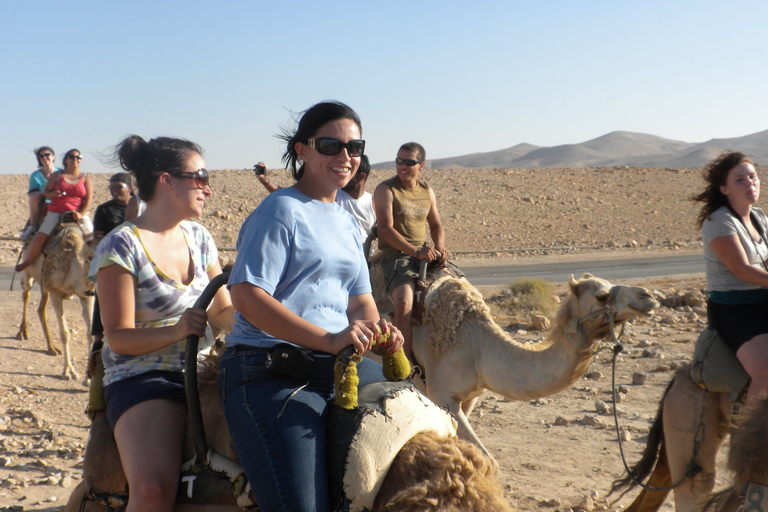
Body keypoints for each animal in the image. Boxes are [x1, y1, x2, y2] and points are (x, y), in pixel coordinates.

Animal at [15, 227, 94, 380]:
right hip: (29, 271)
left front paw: (89, 378)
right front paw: (68, 371)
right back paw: (23, 332)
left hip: (45, 284)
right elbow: (64, 333)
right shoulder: (55, 292)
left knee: (41, 309)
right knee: (26, 293)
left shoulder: (86, 295)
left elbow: (90, 333)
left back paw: (51, 348)